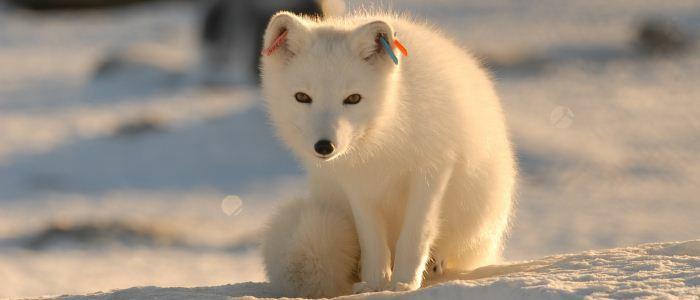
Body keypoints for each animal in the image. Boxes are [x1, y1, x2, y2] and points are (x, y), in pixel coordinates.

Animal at [260, 4, 516, 298]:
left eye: (353, 98)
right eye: (302, 97)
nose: (324, 146)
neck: (383, 141)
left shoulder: (433, 170)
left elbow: (416, 235)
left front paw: (404, 283)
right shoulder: (356, 183)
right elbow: (371, 240)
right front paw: (374, 283)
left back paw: (436, 265)